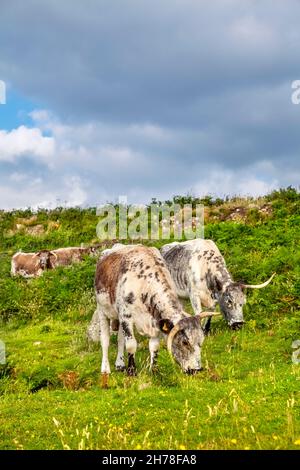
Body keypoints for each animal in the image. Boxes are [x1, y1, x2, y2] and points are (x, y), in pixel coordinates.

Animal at [88, 242, 219, 386]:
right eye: (185, 342)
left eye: (201, 340)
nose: (196, 369)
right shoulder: (126, 316)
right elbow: (131, 345)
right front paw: (132, 371)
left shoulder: (155, 321)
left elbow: (154, 347)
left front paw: (154, 371)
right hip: (102, 311)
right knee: (105, 340)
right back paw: (106, 368)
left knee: (120, 339)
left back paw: (120, 364)